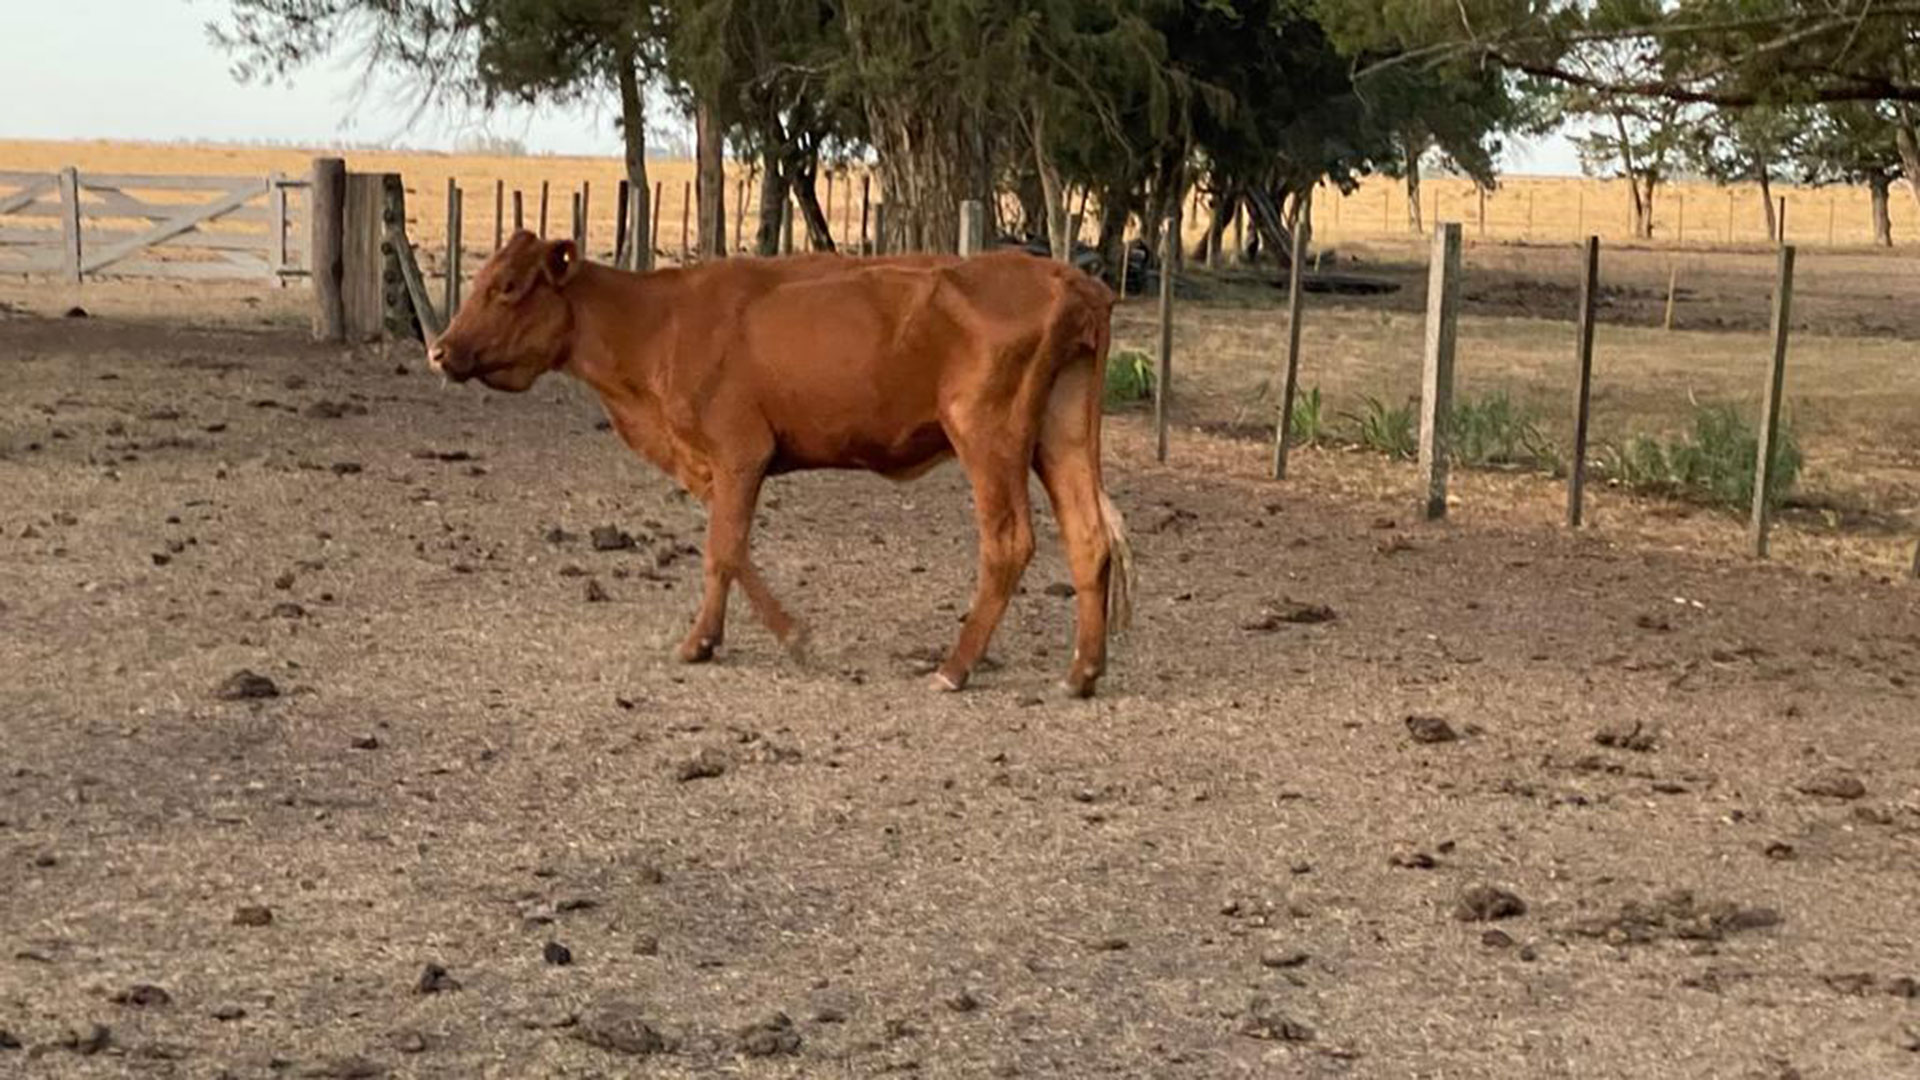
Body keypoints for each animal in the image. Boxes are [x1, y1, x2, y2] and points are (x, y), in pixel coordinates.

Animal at [428, 231, 1128, 691]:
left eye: (507, 287)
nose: (440, 350)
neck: (658, 322)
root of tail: (1067, 277)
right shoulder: (721, 464)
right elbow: (728, 549)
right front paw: (721, 638)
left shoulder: (740, 451)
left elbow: (724, 550)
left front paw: (760, 639)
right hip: (1058, 435)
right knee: (1088, 537)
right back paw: (1082, 671)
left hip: (987, 435)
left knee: (1008, 542)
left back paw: (954, 667)